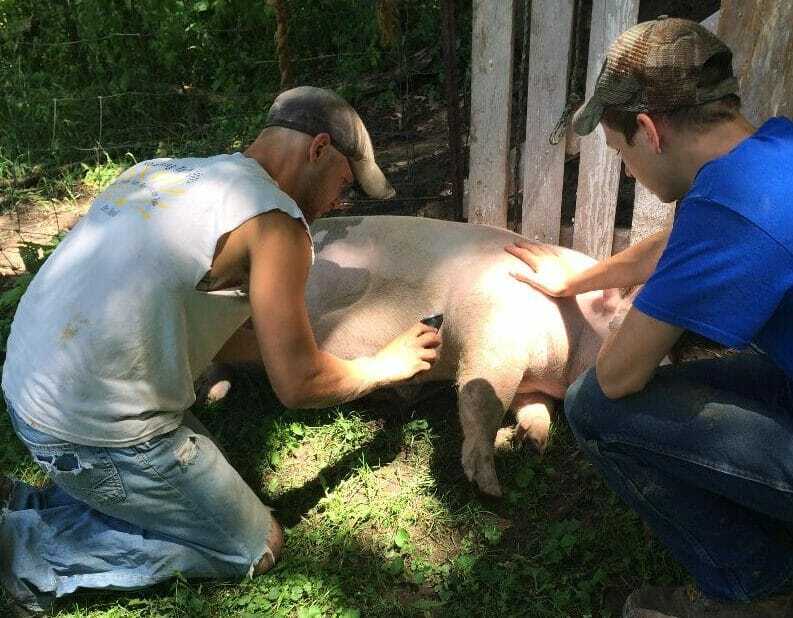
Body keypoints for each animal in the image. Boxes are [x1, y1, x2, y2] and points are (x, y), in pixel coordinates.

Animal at [207, 215, 625, 497]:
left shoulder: (531, 380)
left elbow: (534, 407)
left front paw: (530, 442)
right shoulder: (491, 330)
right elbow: (481, 394)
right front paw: (489, 486)